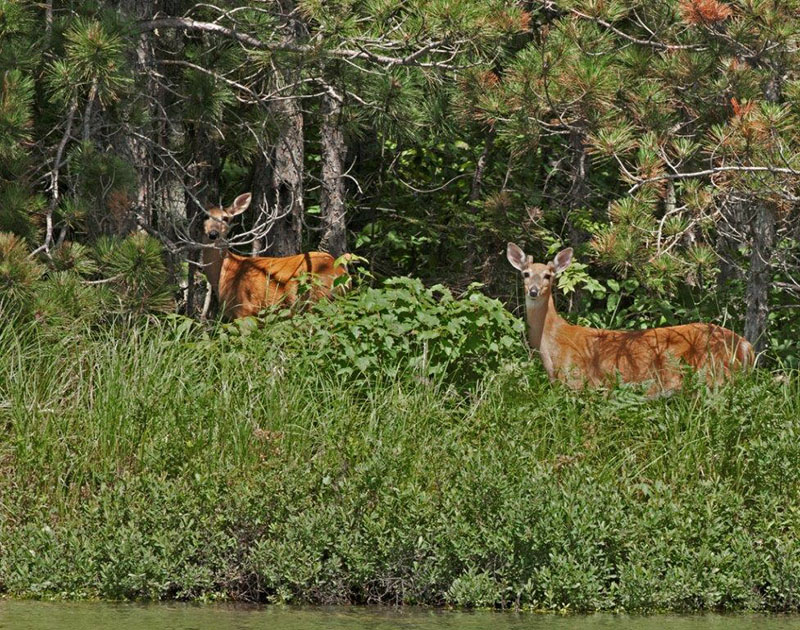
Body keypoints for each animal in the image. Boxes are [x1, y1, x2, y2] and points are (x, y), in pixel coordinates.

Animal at [200, 192, 350, 320]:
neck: (226, 271)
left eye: (225, 218)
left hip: (312, 297)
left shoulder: (244, 310)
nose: (213, 234)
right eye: (205, 216)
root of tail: (340, 272)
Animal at [507, 243, 754, 392]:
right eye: (526, 273)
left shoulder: (582, 383)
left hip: (712, 376)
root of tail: (744, 344)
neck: (553, 342)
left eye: (548, 275)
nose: (533, 291)